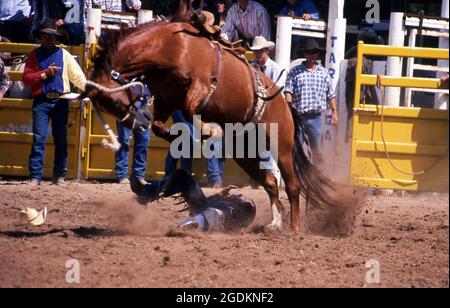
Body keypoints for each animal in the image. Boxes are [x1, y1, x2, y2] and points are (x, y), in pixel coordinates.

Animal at [81, 4, 342, 232]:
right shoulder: (165, 101)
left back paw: (294, 228)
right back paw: (274, 224)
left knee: (292, 185)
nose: (136, 121)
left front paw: (209, 131)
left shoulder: (201, 86)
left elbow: (189, 108)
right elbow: (160, 126)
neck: (170, 46)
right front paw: (182, 137)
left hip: (282, 147)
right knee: (269, 181)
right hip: (245, 152)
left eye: (114, 102)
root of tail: (286, 105)